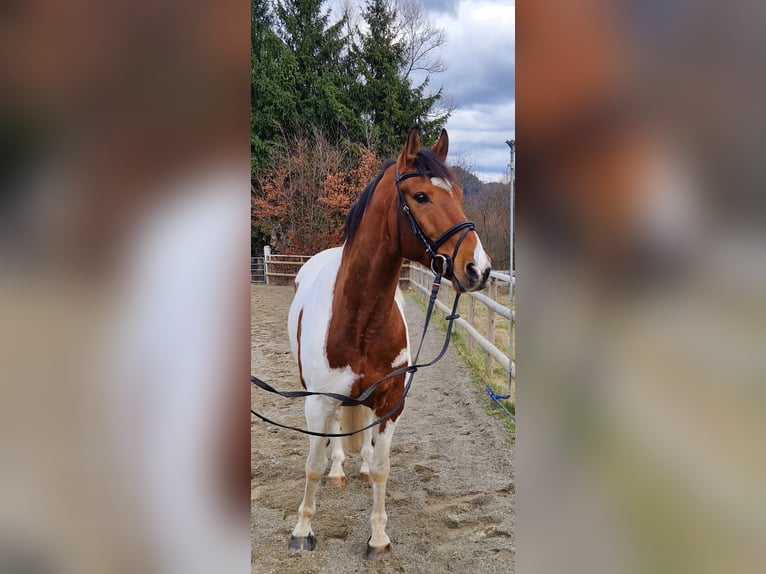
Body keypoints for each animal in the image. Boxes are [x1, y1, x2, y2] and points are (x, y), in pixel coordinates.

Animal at [286, 128, 492, 560]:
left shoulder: (391, 402)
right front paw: (302, 530)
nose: (479, 268)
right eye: (421, 196)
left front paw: (378, 537)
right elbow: (312, 465)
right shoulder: (317, 402)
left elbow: (383, 468)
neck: (358, 318)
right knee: (333, 438)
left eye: (459, 194)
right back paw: (338, 470)